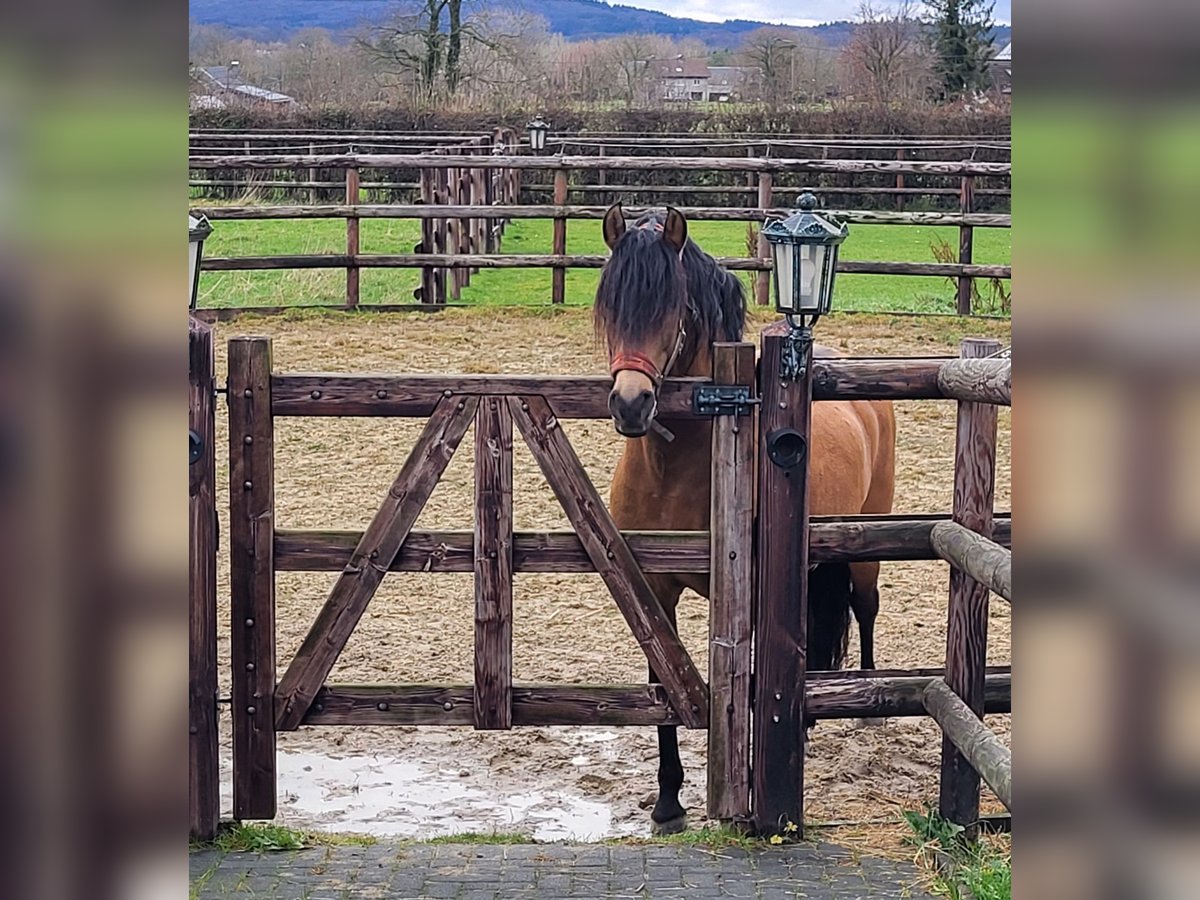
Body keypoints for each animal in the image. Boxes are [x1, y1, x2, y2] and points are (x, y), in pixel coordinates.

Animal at [595, 206, 897, 840]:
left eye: (674, 307)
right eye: (610, 304)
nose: (631, 404)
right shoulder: (654, 589)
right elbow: (664, 684)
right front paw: (668, 803)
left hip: (865, 546)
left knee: (864, 609)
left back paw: (867, 704)